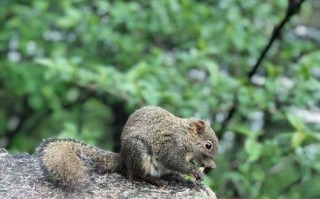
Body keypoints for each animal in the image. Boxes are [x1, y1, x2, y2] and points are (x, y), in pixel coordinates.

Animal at [36, 106, 219, 187]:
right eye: (208, 145)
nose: (212, 165)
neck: (185, 136)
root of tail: (123, 159)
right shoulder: (171, 146)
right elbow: (174, 161)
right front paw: (194, 170)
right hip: (139, 153)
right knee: (136, 174)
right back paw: (155, 180)